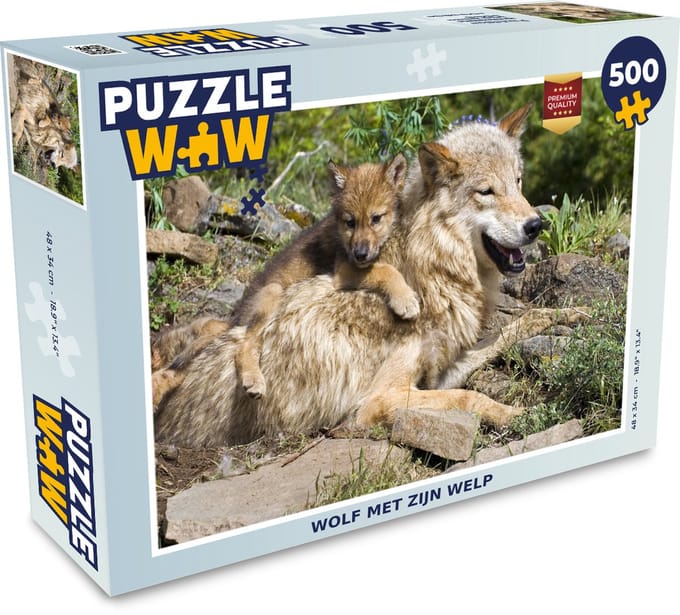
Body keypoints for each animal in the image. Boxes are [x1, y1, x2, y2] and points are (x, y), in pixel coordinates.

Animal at [151, 154, 418, 405]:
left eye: (376, 218)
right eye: (350, 222)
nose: (360, 254)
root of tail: (234, 318)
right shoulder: (344, 269)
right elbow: (385, 270)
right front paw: (406, 300)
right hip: (272, 293)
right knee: (243, 345)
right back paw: (254, 380)